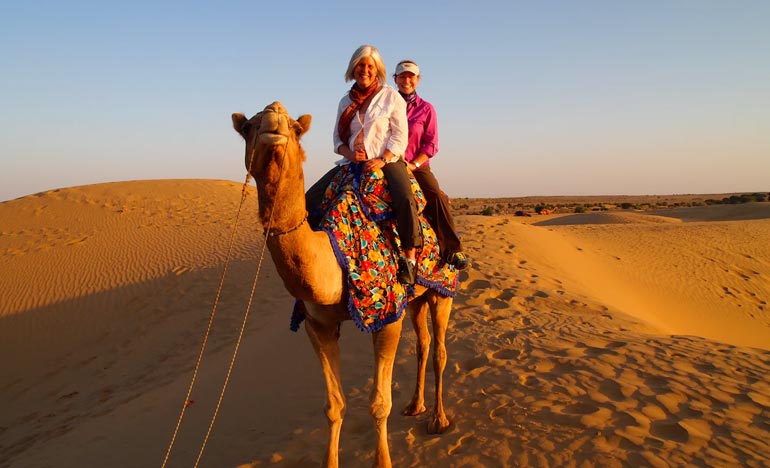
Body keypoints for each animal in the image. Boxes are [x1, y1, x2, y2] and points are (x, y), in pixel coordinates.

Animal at [232, 102, 454, 468]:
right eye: (249, 127)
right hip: (416, 298)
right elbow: (334, 406)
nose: (274, 121)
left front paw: (383, 461)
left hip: (441, 289)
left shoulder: (386, 315)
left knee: (439, 350)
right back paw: (414, 405)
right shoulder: (317, 324)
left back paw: (438, 420)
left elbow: (379, 403)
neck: (335, 260)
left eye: (296, 128)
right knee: (422, 344)